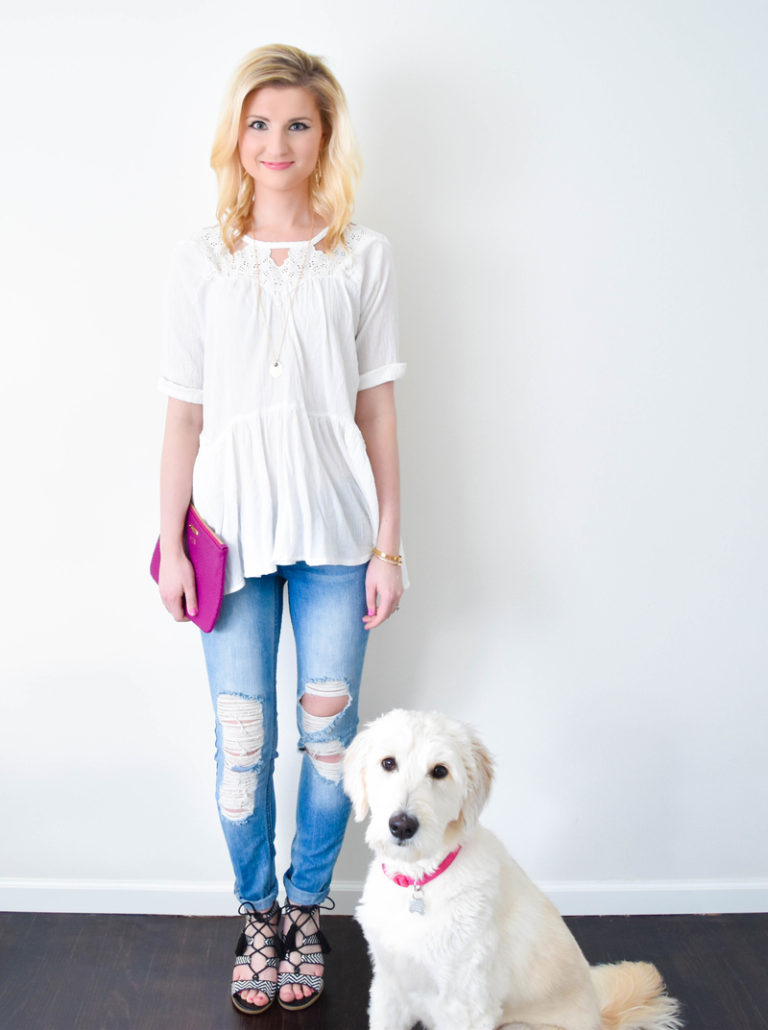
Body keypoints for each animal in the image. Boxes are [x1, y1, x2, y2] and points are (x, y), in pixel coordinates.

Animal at [343, 708, 679, 1030]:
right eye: (388, 763)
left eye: (440, 771)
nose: (402, 825)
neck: (420, 879)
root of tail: (600, 1017)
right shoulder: (389, 988)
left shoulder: (467, 1008)